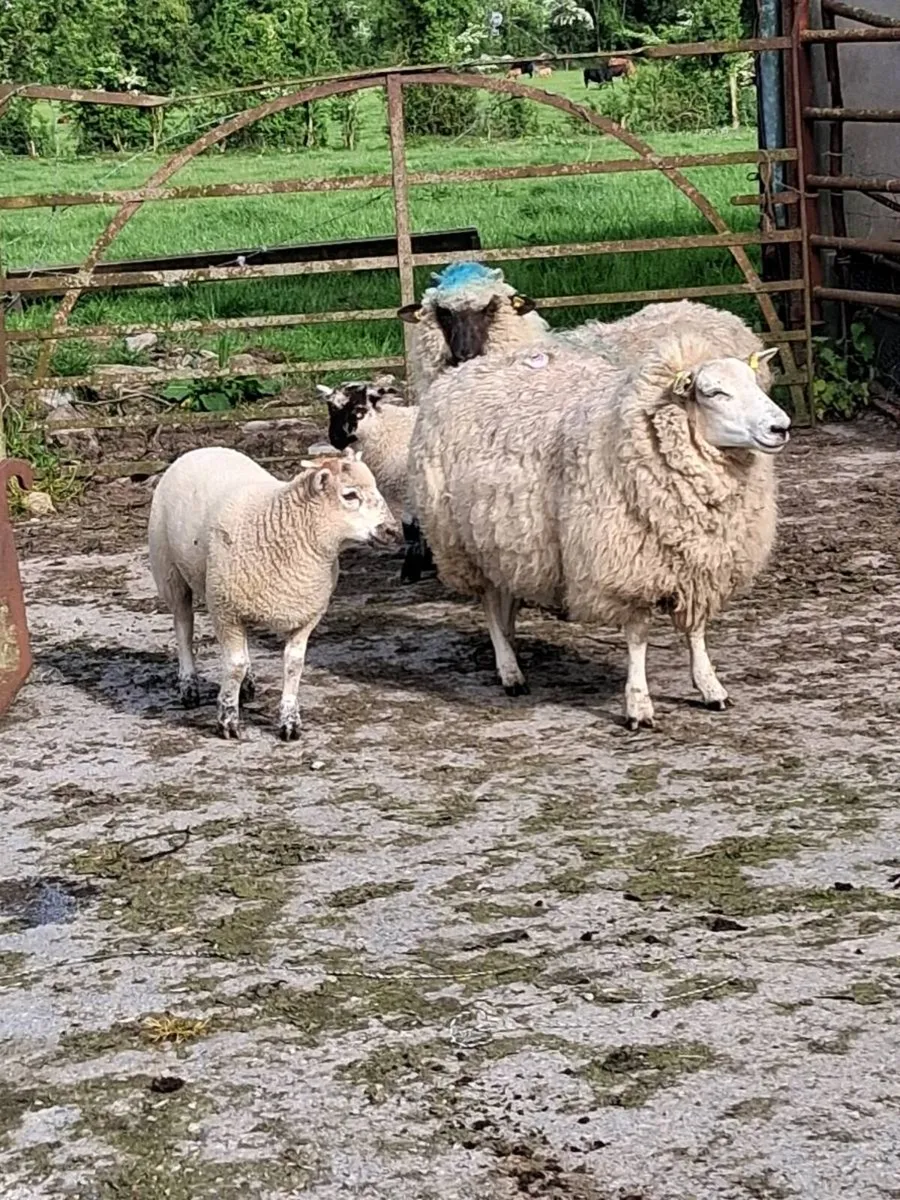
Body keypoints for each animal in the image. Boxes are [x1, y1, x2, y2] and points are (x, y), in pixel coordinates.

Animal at [148, 446, 399, 742]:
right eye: (349, 495)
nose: (393, 530)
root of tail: (203, 449)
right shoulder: (225, 609)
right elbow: (234, 665)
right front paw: (227, 721)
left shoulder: (305, 615)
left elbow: (293, 665)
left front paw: (290, 722)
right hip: (168, 570)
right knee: (184, 626)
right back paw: (189, 686)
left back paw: (246, 685)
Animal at [407, 329, 788, 729]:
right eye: (715, 393)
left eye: (754, 383)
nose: (781, 427)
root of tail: (461, 371)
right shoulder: (627, 568)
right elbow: (638, 638)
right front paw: (638, 705)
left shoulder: (698, 567)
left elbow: (695, 631)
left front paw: (710, 687)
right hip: (458, 540)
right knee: (489, 604)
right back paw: (509, 670)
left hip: (505, 539)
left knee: (505, 596)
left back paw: (512, 648)